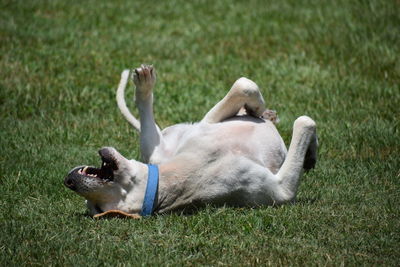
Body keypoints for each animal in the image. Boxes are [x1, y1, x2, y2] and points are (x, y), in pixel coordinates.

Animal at [64, 65, 318, 220]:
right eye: (98, 209)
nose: (69, 181)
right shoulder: (278, 191)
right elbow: (305, 121)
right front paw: (309, 150)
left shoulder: (207, 123)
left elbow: (244, 85)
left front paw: (258, 111)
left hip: (164, 146)